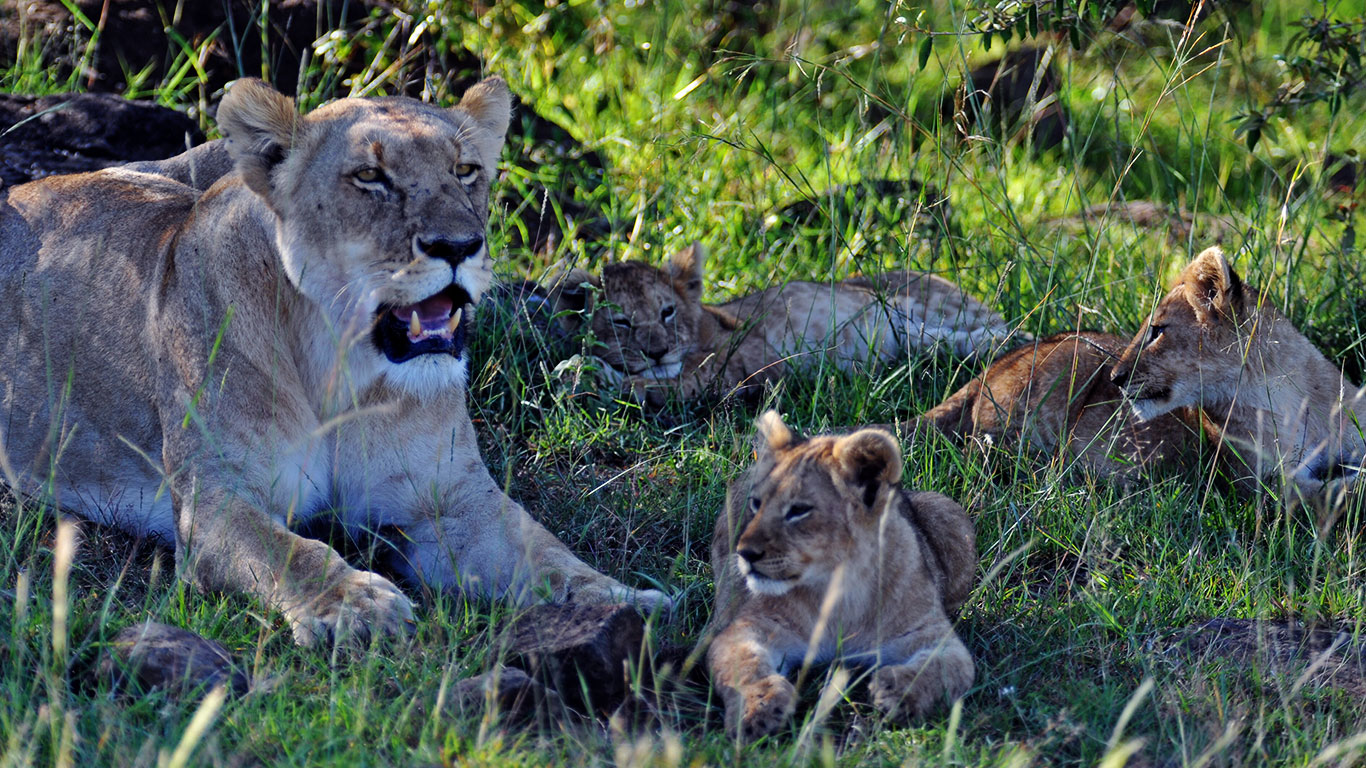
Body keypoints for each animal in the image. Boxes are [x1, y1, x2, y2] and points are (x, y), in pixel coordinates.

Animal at [0, 77, 667, 648]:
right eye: (370, 176)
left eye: (465, 170)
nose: (458, 246)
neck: (339, 368)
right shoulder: (215, 500)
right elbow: (290, 551)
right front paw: (357, 605)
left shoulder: (450, 495)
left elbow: (541, 549)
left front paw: (619, 600)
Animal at [545, 243, 1016, 405]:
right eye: (622, 322)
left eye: (667, 312)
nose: (657, 351)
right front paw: (579, 371)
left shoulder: (737, 371)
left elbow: (651, 385)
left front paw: (583, 378)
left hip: (912, 307)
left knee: (958, 336)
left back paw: (1004, 338)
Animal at [707, 411, 976, 740]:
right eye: (756, 503)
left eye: (799, 510)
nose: (745, 553)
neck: (840, 586)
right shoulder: (753, 625)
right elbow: (745, 666)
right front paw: (757, 710)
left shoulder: (933, 634)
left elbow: (946, 669)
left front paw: (898, 693)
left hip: (949, 512)